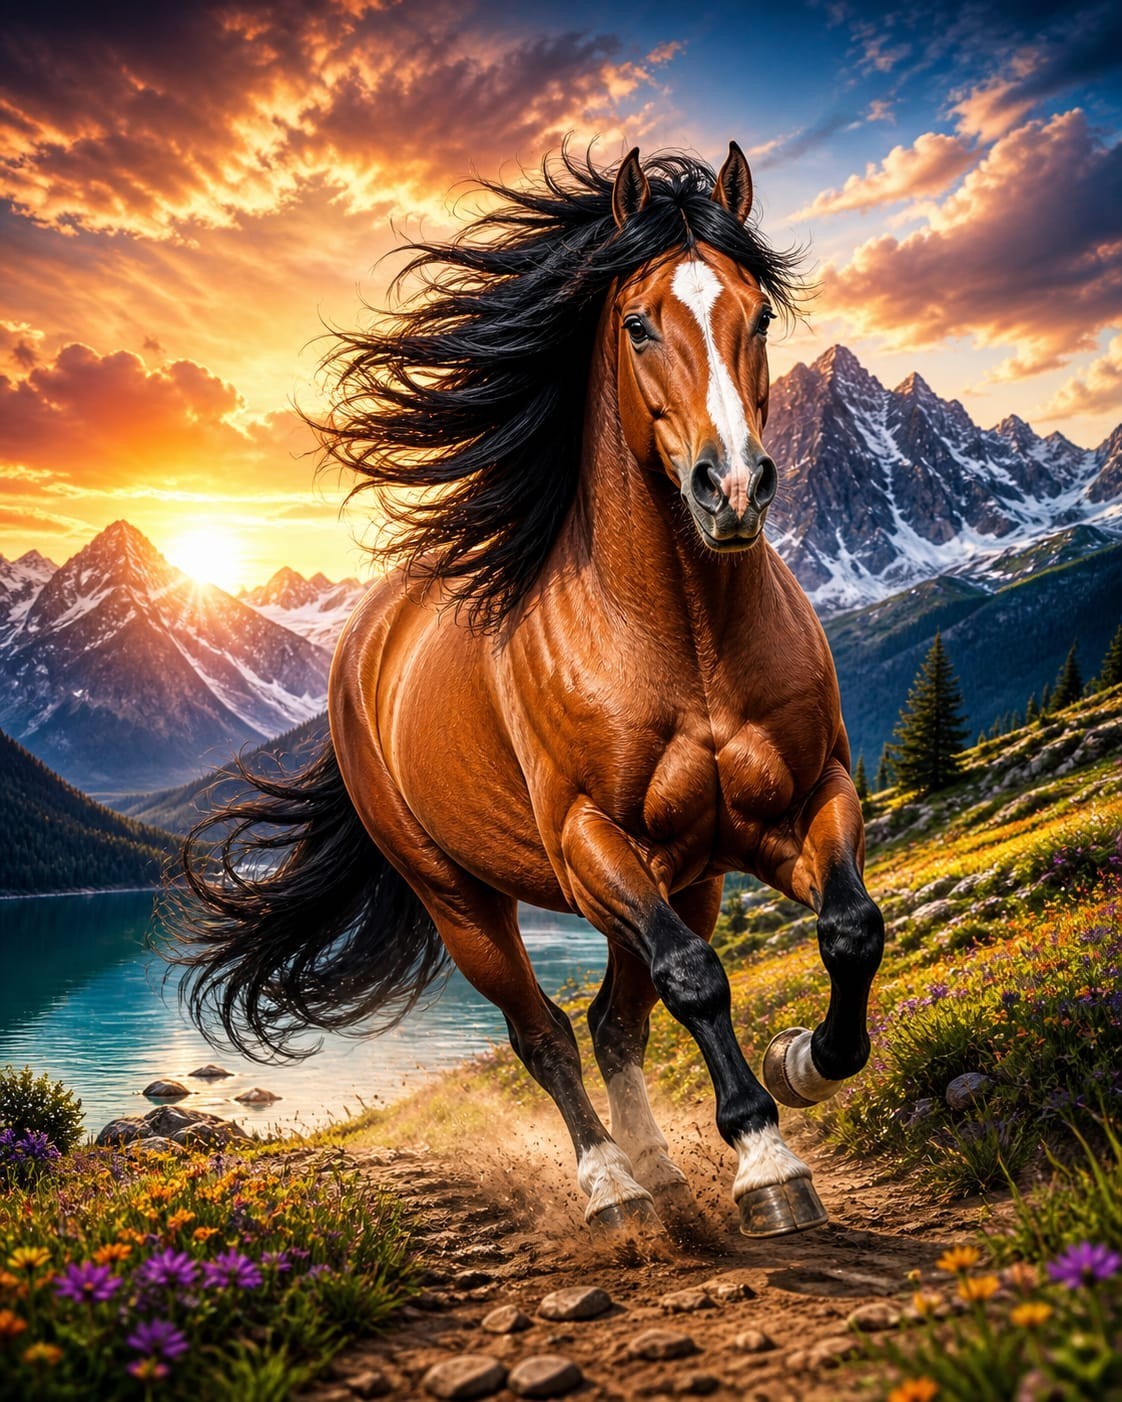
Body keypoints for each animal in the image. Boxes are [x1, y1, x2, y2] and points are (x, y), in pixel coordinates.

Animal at [172, 143, 885, 1240]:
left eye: (758, 314)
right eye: (638, 323)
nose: (732, 488)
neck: (682, 636)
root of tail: (361, 651)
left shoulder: (805, 802)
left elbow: (850, 931)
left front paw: (801, 1064)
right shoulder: (592, 842)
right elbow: (696, 978)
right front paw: (766, 1158)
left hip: (688, 875)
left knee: (614, 1022)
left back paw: (663, 1174)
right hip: (462, 899)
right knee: (544, 1031)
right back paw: (614, 1189)